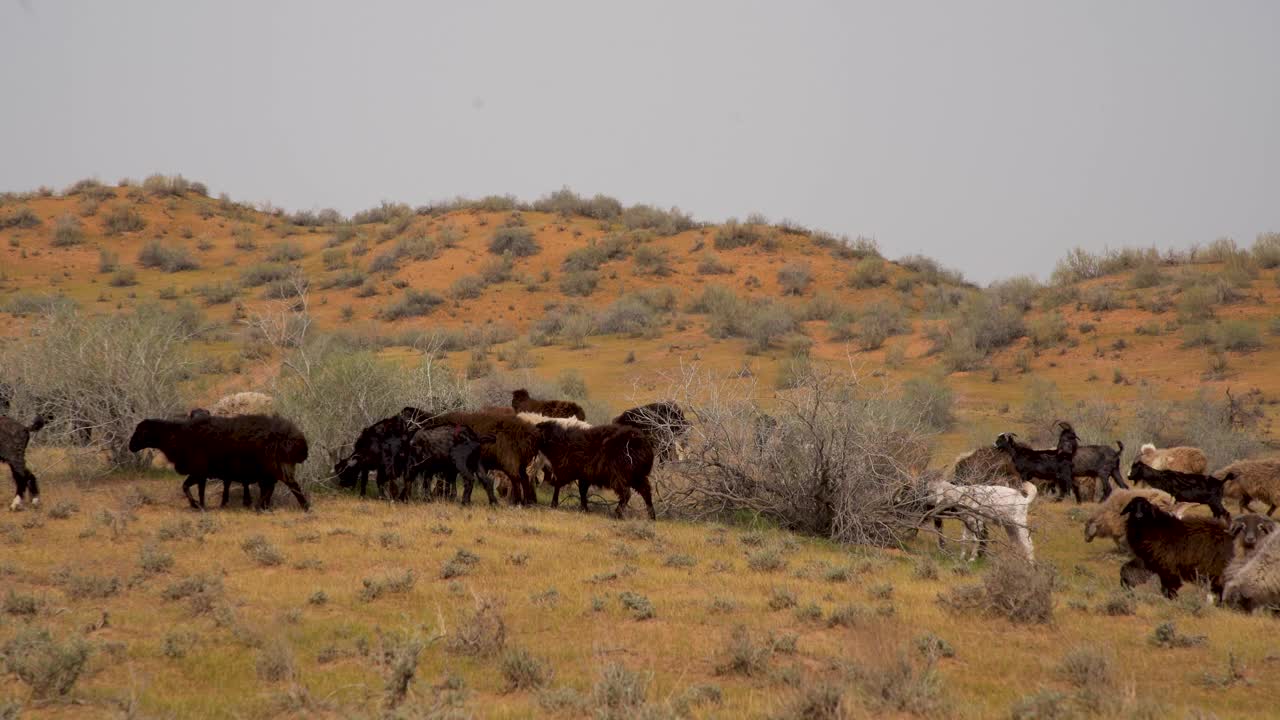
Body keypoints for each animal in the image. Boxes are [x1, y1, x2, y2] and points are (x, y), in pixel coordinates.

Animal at [128, 409, 311, 509]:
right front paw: (199, 505)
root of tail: (295, 437)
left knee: (290, 486)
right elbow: (194, 489)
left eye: (140, 431)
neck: (178, 436)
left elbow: (190, 488)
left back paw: (303, 507)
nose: (130, 446)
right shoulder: (200, 473)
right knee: (274, 488)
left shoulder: (199, 471)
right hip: (273, 468)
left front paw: (198, 506)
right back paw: (264, 506)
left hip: (275, 466)